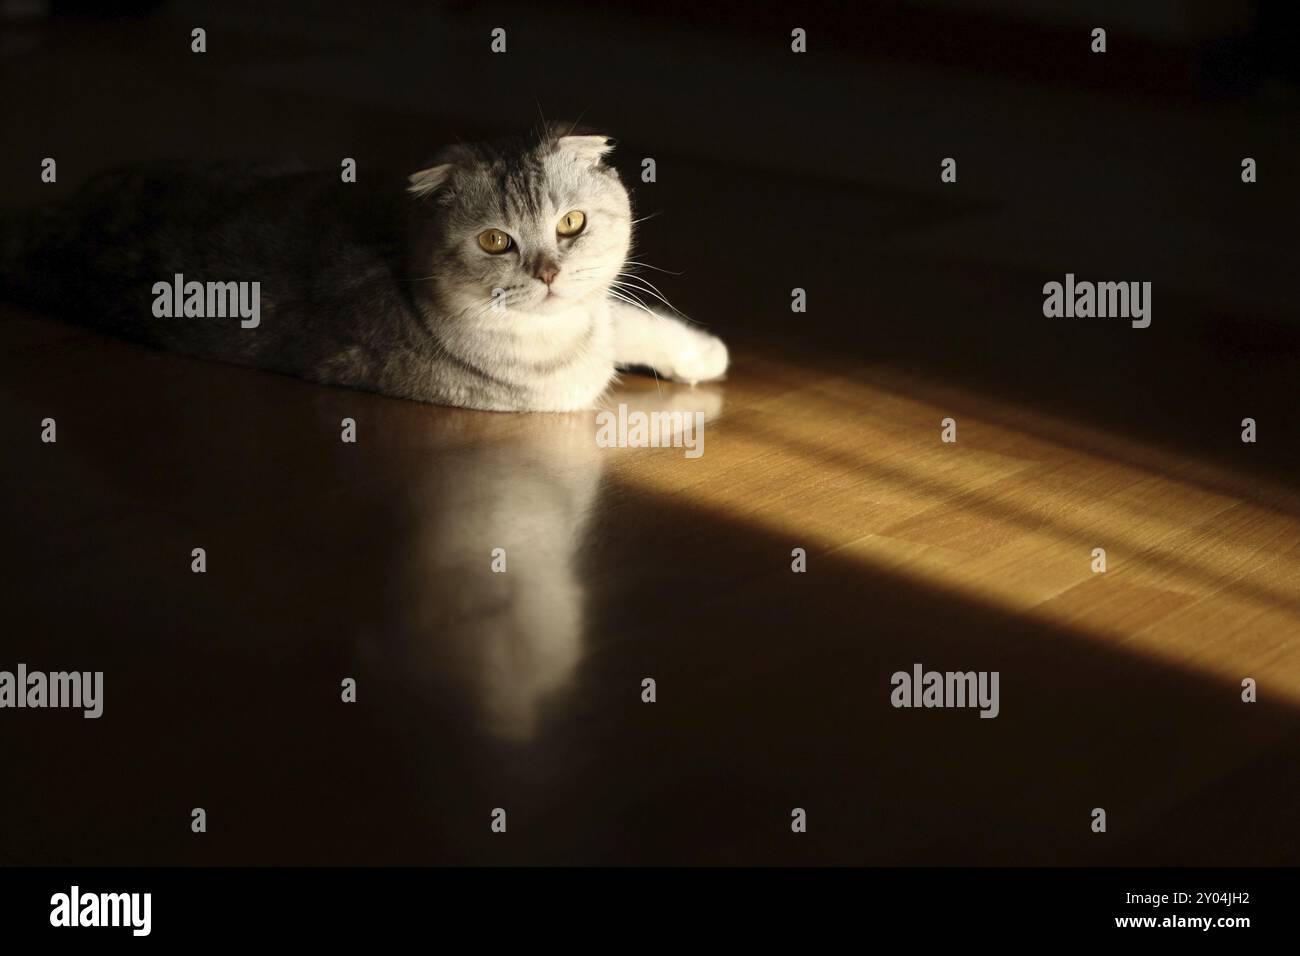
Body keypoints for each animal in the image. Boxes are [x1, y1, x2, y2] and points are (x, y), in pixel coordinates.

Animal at [0, 127, 728, 411]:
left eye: (571, 224)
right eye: (496, 241)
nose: (547, 272)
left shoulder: (602, 313)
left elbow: (632, 318)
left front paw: (704, 353)